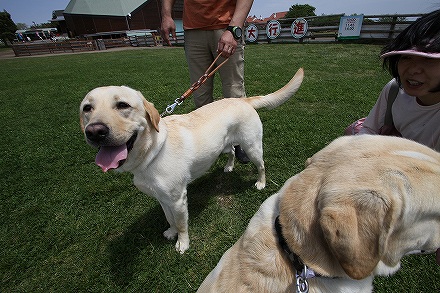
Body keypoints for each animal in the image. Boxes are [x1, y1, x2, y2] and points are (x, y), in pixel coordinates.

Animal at [80, 67, 302, 252]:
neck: (151, 154)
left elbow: (180, 223)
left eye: (123, 105)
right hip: (222, 145)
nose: (94, 132)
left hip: (252, 146)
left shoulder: (178, 199)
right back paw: (229, 167)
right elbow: (169, 218)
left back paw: (261, 182)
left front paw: (182, 243)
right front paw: (171, 232)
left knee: (261, 165)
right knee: (231, 151)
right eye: (86, 108)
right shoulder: (162, 198)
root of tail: (242, 100)